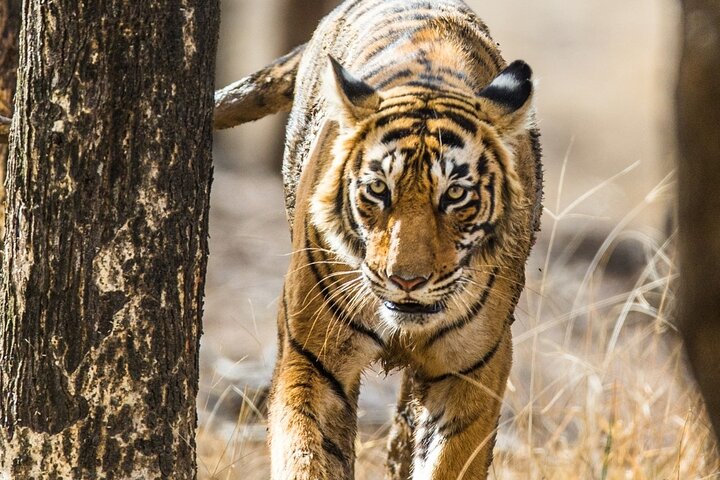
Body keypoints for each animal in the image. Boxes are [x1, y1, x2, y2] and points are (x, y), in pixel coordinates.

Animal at [229, 0, 543, 478]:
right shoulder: (312, 355)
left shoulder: (474, 365)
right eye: (378, 189)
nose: (406, 281)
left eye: (455, 195)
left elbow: (448, 458)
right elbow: (307, 452)